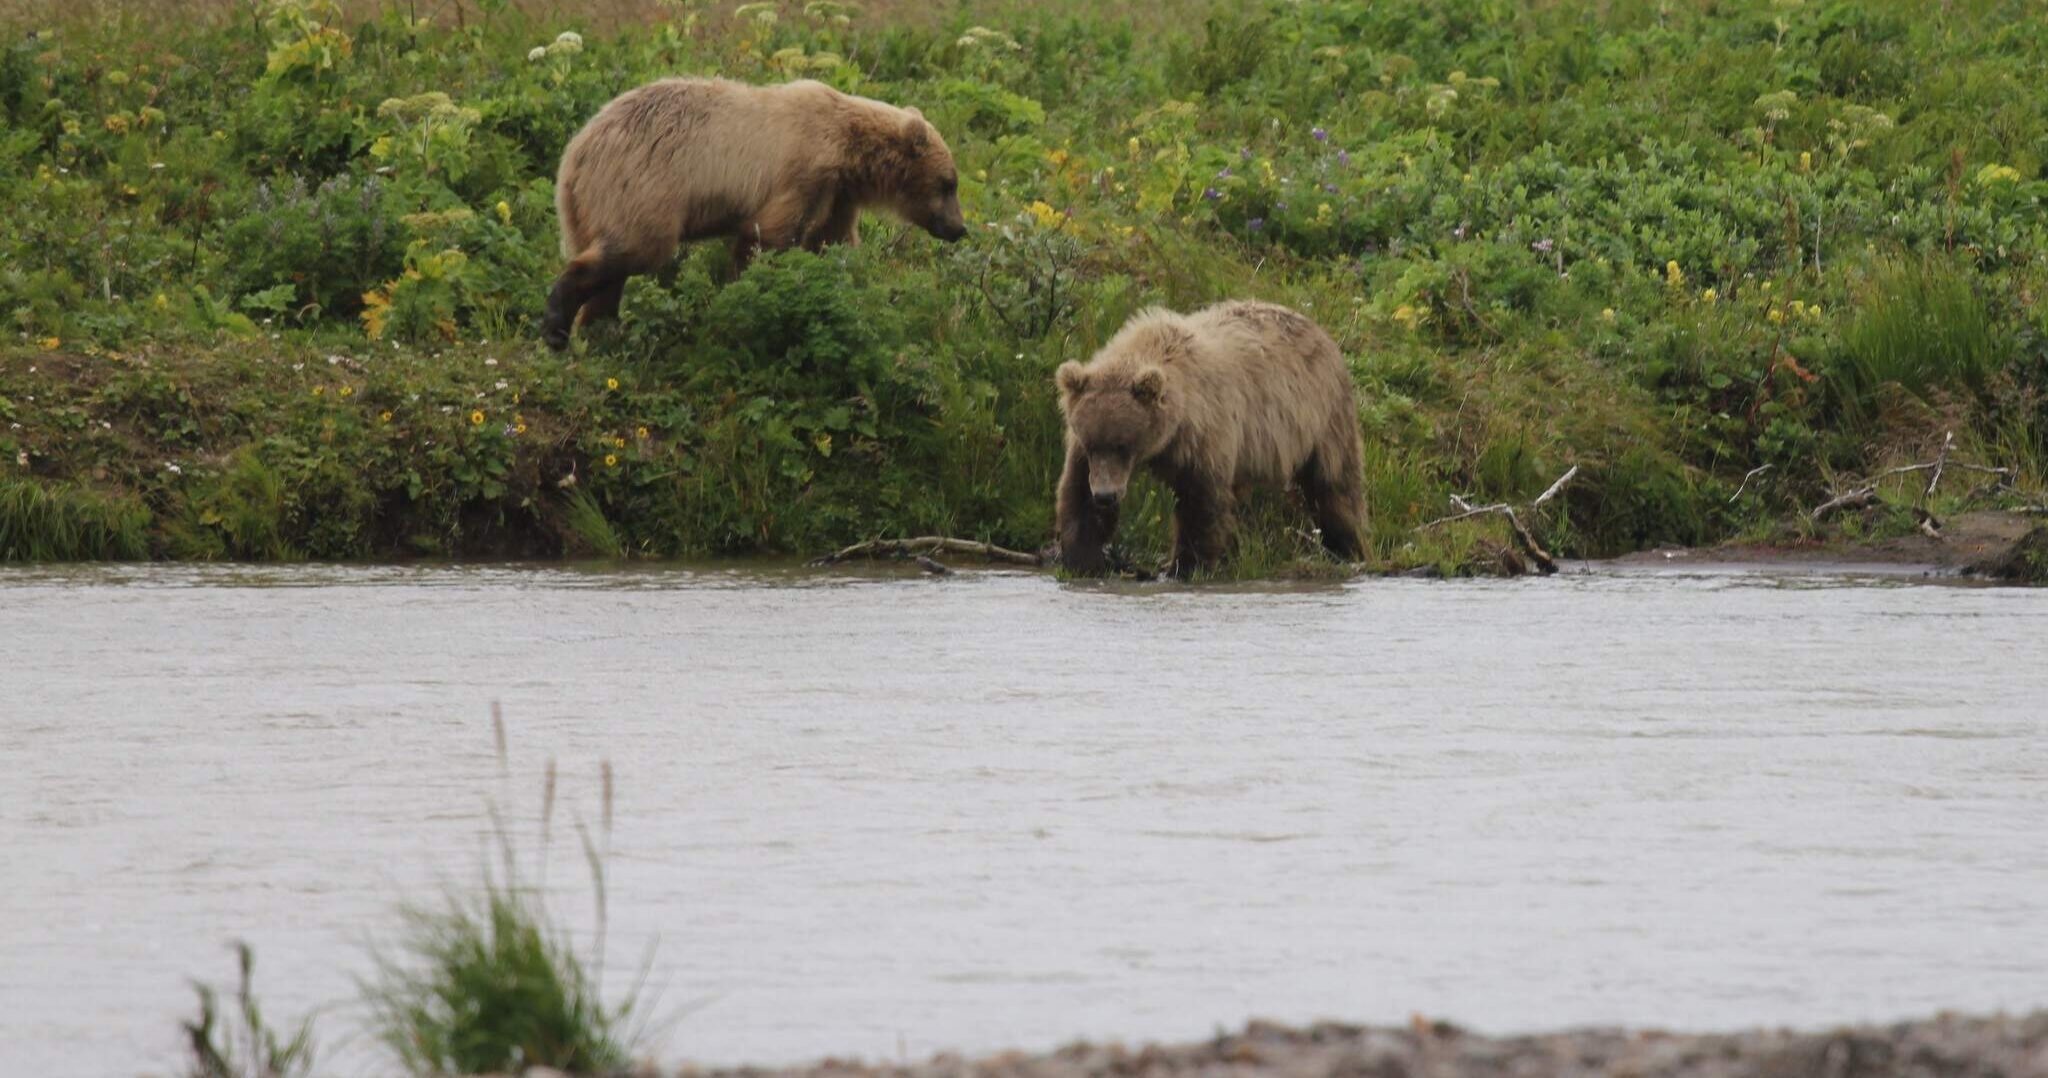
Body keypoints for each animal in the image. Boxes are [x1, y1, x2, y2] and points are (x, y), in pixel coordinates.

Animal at [540, 80, 962, 350]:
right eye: (948, 183)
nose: (960, 228)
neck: (849, 151)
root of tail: (575, 154)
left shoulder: (837, 194)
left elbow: (834, 244)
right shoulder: (800, 171)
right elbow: (767, 237)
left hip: (598, 202)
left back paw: (601, 329)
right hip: (644, 185)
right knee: (635, 249)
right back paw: (558, 323)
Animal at [1056, 303, 1376, 577]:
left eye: (1123, 446)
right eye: (1093, 444)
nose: (1106, 496)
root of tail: (1321, 332)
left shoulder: (1203, 433)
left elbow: (1200, 501)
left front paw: (1185, 566)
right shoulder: (1083, 449)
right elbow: (1077, 492)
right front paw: (1083, 559)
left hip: (1321, 418)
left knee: (1333, 484)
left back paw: (1348, 548)